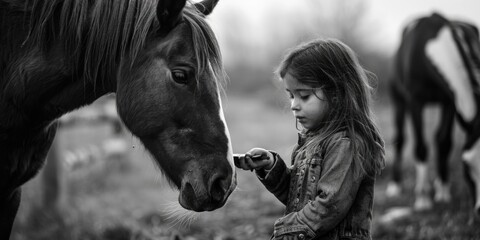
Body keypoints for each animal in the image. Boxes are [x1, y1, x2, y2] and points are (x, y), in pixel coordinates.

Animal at [386, 11, 480, 216]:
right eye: (466, 166)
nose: (479, 210)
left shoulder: (450, 102)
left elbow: (444, 142)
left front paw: (443, 192)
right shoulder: (416, 102)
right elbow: (421, 147)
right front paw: (423, 199)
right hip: (398, 100)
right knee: (400, 138)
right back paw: (395, 186)